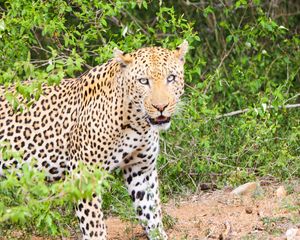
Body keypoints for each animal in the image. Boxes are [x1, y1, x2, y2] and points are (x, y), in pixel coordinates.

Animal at [0, 40, 188, 239]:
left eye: (171, 78)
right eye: (143, 81)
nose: (161, 107)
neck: (137, 123)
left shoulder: (141, 170)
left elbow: (152, 216)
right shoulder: (85, 175)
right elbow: (95, 228)